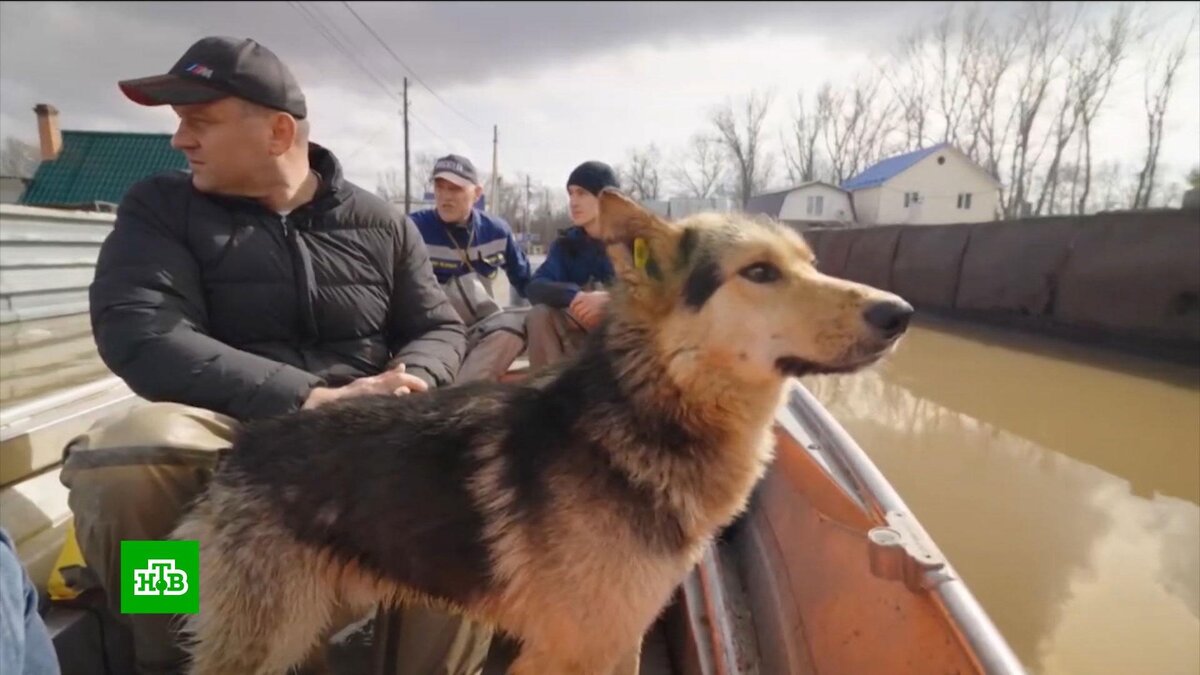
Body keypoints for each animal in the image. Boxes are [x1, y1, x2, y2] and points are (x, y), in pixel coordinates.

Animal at [174, 187, 912, 672]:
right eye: (759, 272)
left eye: (811, 263)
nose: (900, 313)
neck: (646, 414)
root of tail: (242, 446)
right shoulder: (568, 648)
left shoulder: (618, 638)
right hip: (266, 636)